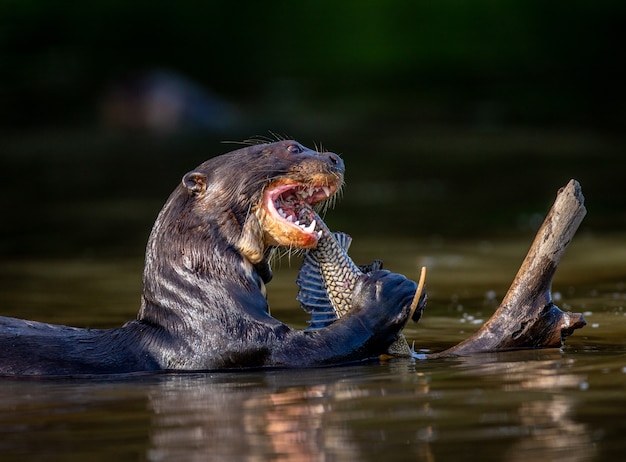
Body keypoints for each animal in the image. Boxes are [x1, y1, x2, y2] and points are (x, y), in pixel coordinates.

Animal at [1, 140, 420, 376]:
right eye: (292, 148)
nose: (334, 158)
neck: (204, 306)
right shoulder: (234, 342)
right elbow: (312, 350)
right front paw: (389, 291)